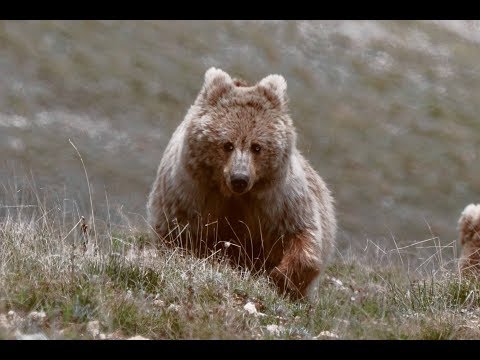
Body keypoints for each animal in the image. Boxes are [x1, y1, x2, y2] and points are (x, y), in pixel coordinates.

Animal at [147, 67, 338, 300]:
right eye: (227, 144)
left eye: (257, 147)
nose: (239, 178)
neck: (233, 195)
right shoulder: (190, 193)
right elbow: (177, 232)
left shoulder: (278, 200)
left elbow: (303, 234)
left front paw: (279, 276)